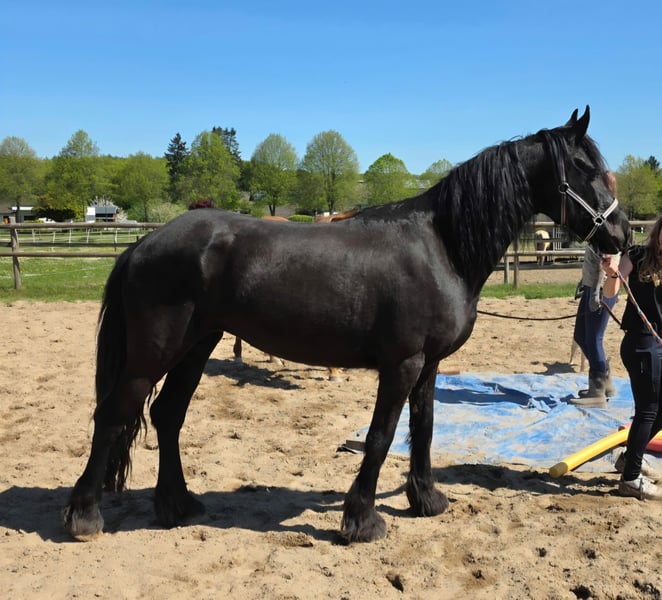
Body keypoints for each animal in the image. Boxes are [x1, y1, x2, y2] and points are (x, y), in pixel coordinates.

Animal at [63, 107, 630, 543]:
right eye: (583, 166)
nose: (622, 235)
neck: (441, 244)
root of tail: (143, 243)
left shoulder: (429, 367)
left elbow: (424, 430)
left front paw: (426, 499)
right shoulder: (402, 365)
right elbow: (381, 437)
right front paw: (361, 520)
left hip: (197, 346)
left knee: (167, 415)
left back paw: (177, 506)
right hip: (154, 353)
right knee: (113, 415)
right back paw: (85, 515)